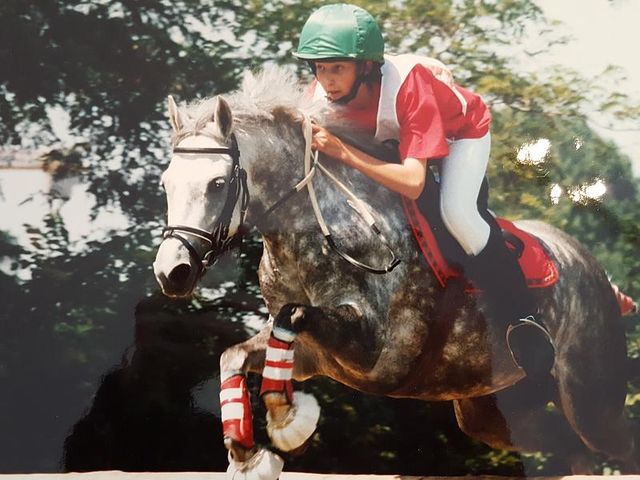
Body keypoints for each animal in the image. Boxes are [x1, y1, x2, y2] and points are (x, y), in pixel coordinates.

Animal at [153, 66, 638, 479]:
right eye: (166, 183)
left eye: (217, 183)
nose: (171, 272)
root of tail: (601, 278)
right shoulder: (313, 356)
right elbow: (234, 355)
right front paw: (248, 453)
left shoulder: (376, 352)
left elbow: (294, 315)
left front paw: (287, 420)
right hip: (493, 411)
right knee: (568, 451)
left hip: (591, 400)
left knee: (611, 444)